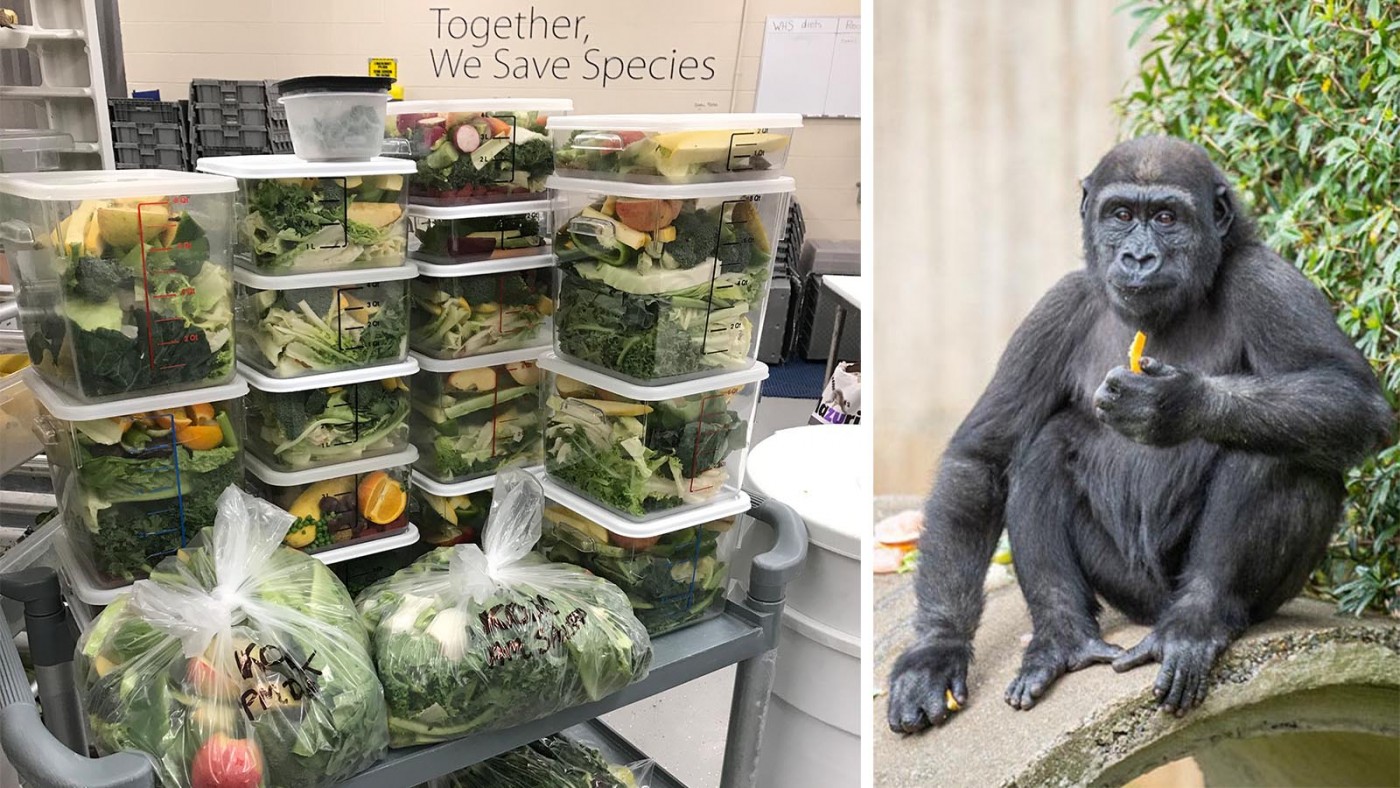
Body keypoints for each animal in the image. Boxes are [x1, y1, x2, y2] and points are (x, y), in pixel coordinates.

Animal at [890, 135, 1394, 733]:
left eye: (1167, 217)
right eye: (1122, 215)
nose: (1137, 257)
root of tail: (1154, 615)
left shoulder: (1269, 283)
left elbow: (1350, 397)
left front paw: (1178, 403)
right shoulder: (1055, 310)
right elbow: (983, 458)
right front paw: (935, 650)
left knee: (1283, 448)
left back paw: (1196, 619)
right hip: (1127, 592)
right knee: (1045, 447)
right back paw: (1062, 635)